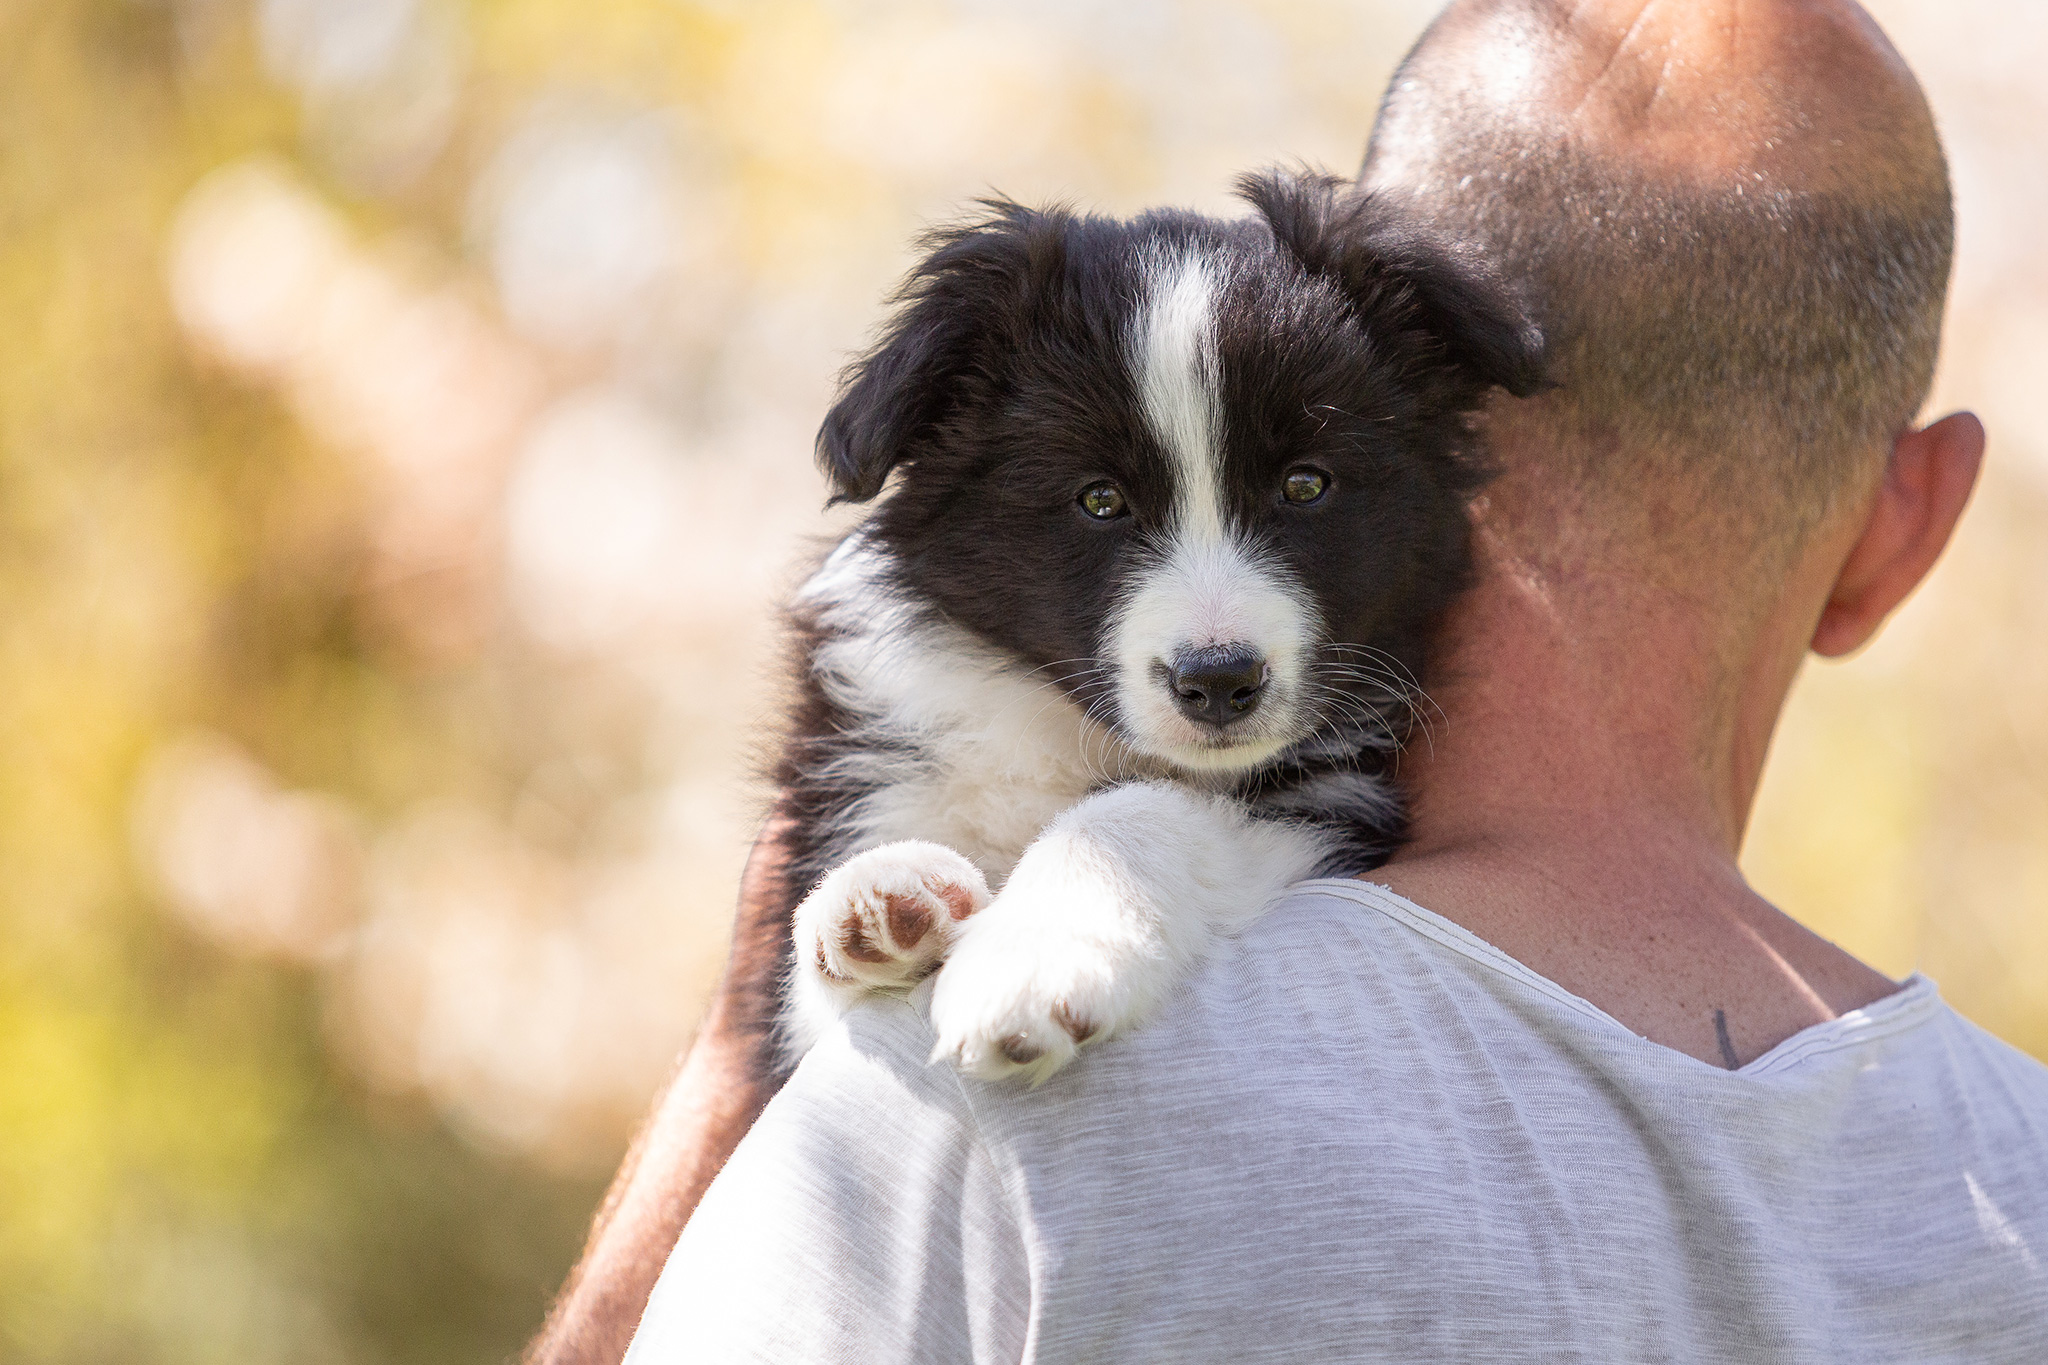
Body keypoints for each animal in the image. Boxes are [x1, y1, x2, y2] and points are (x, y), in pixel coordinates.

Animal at [774, 170, 1540, 1080]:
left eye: (1305, 484)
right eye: (1100, 499)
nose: (1218, 681)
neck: (1066, 733)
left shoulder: (1331, 802)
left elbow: (1144, 808)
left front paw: (1031, 959)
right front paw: (879, 897)